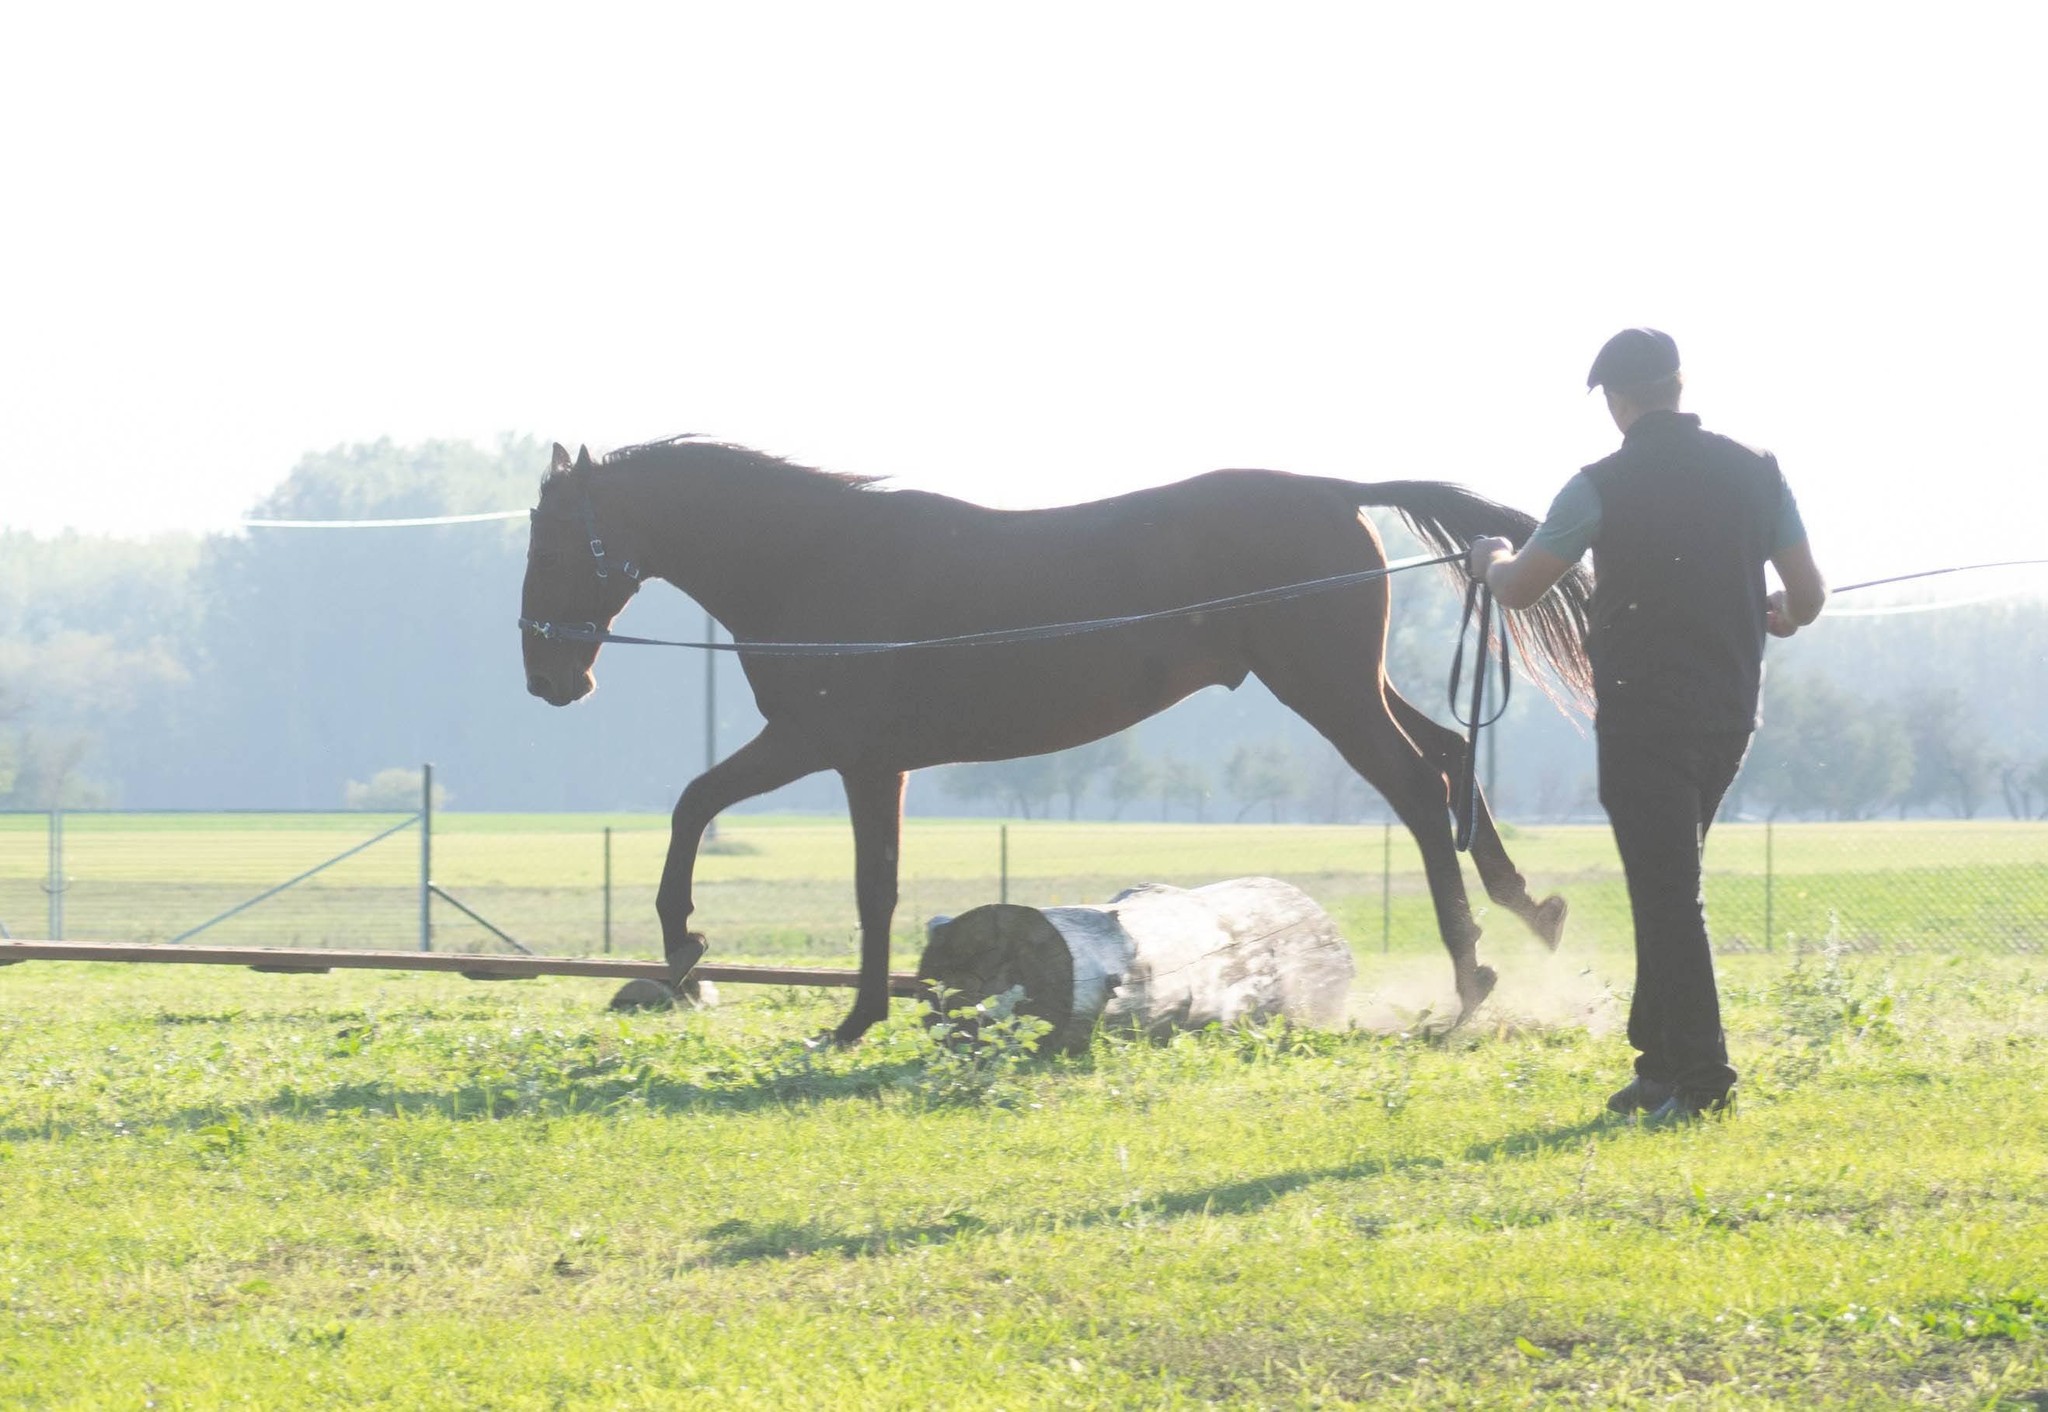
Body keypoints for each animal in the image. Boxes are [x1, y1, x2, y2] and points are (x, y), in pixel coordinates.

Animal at [520, 434, 1589, 1041]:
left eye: (553, 538)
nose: (546, 676)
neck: (816, 560)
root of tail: (1335, 490)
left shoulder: (823, 743)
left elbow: (705, 811)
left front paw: (691, 947)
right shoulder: (868, 764)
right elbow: (867, 885)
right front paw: (856, 1013)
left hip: (1327, 692)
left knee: (1419, 787)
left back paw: (1473, 976)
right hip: (1345, 687)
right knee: (1450, 755)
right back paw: (1529, 913)